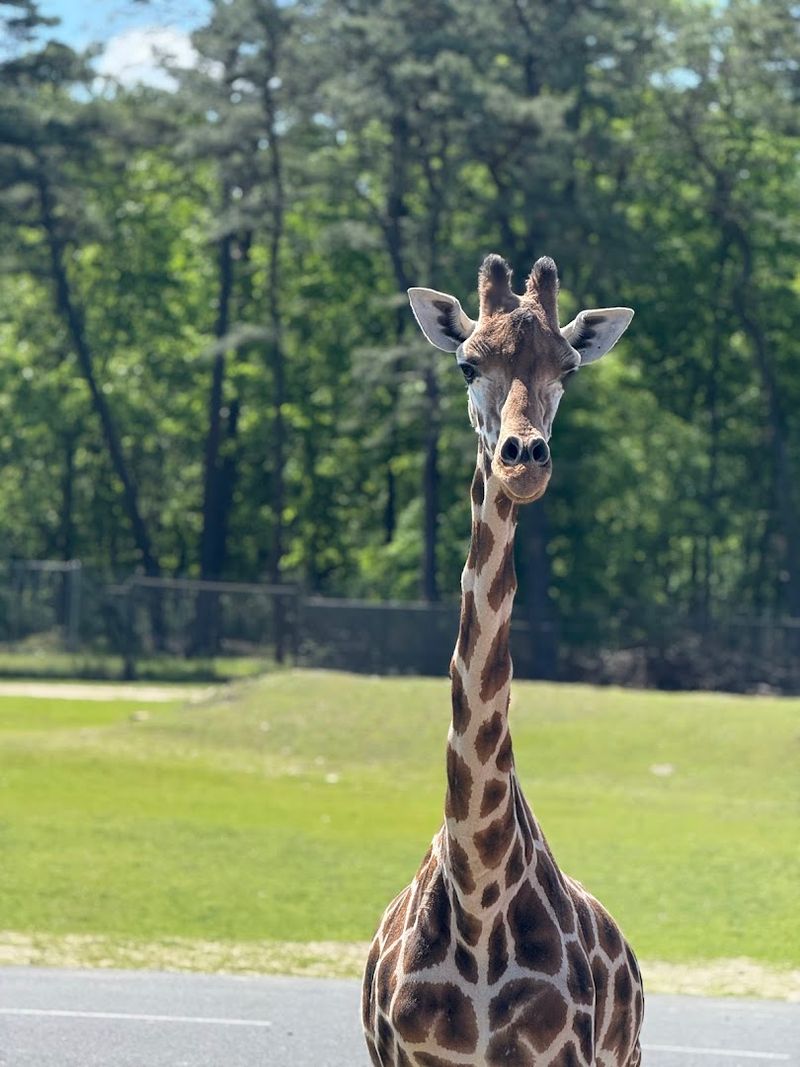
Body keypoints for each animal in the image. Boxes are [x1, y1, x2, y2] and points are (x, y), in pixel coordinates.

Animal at [362, 254, 643, 1067]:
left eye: (567, 367)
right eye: (468, 363)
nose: (523, 458)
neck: (480, 886)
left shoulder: (565, 1055)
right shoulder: (399, 1054)